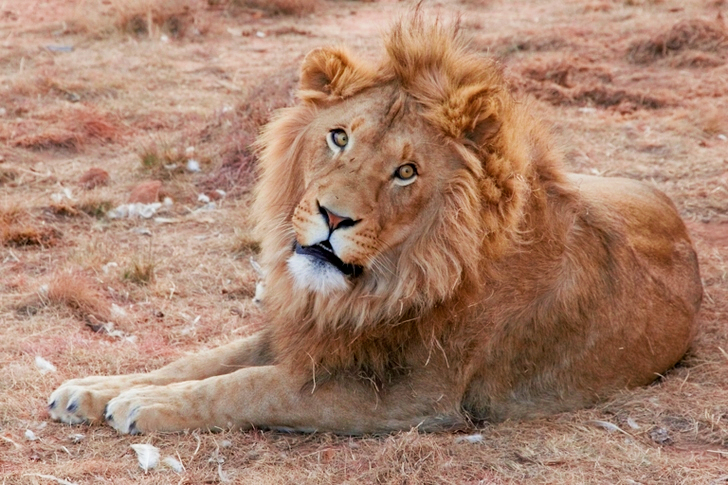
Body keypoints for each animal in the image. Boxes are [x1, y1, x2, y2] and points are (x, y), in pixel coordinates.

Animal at [48, 16, 702, 435]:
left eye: (406, 172)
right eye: (339, 137)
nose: (332, 217)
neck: (382, 285)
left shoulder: (410, 400)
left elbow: (253, 384)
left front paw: (141, 404)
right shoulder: (310, 330)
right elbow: (201, 360)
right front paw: (94, 389)